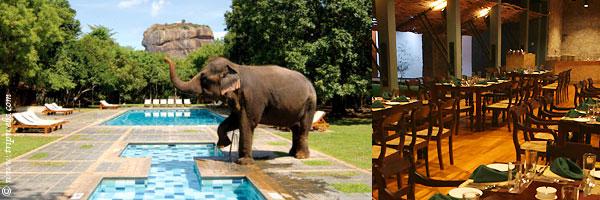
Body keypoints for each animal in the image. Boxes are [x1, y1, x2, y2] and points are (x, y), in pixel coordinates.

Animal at [163, 57, 314, 165]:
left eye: (204, 78)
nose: (165, 58)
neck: (235, 67)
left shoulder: (253, 97)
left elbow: (247, 122)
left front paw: (243, 162)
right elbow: (232, 120)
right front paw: (224, 144)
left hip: (310, 104)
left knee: (303, 128)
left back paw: (301, 157)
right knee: (295, 128)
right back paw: (292, 153)